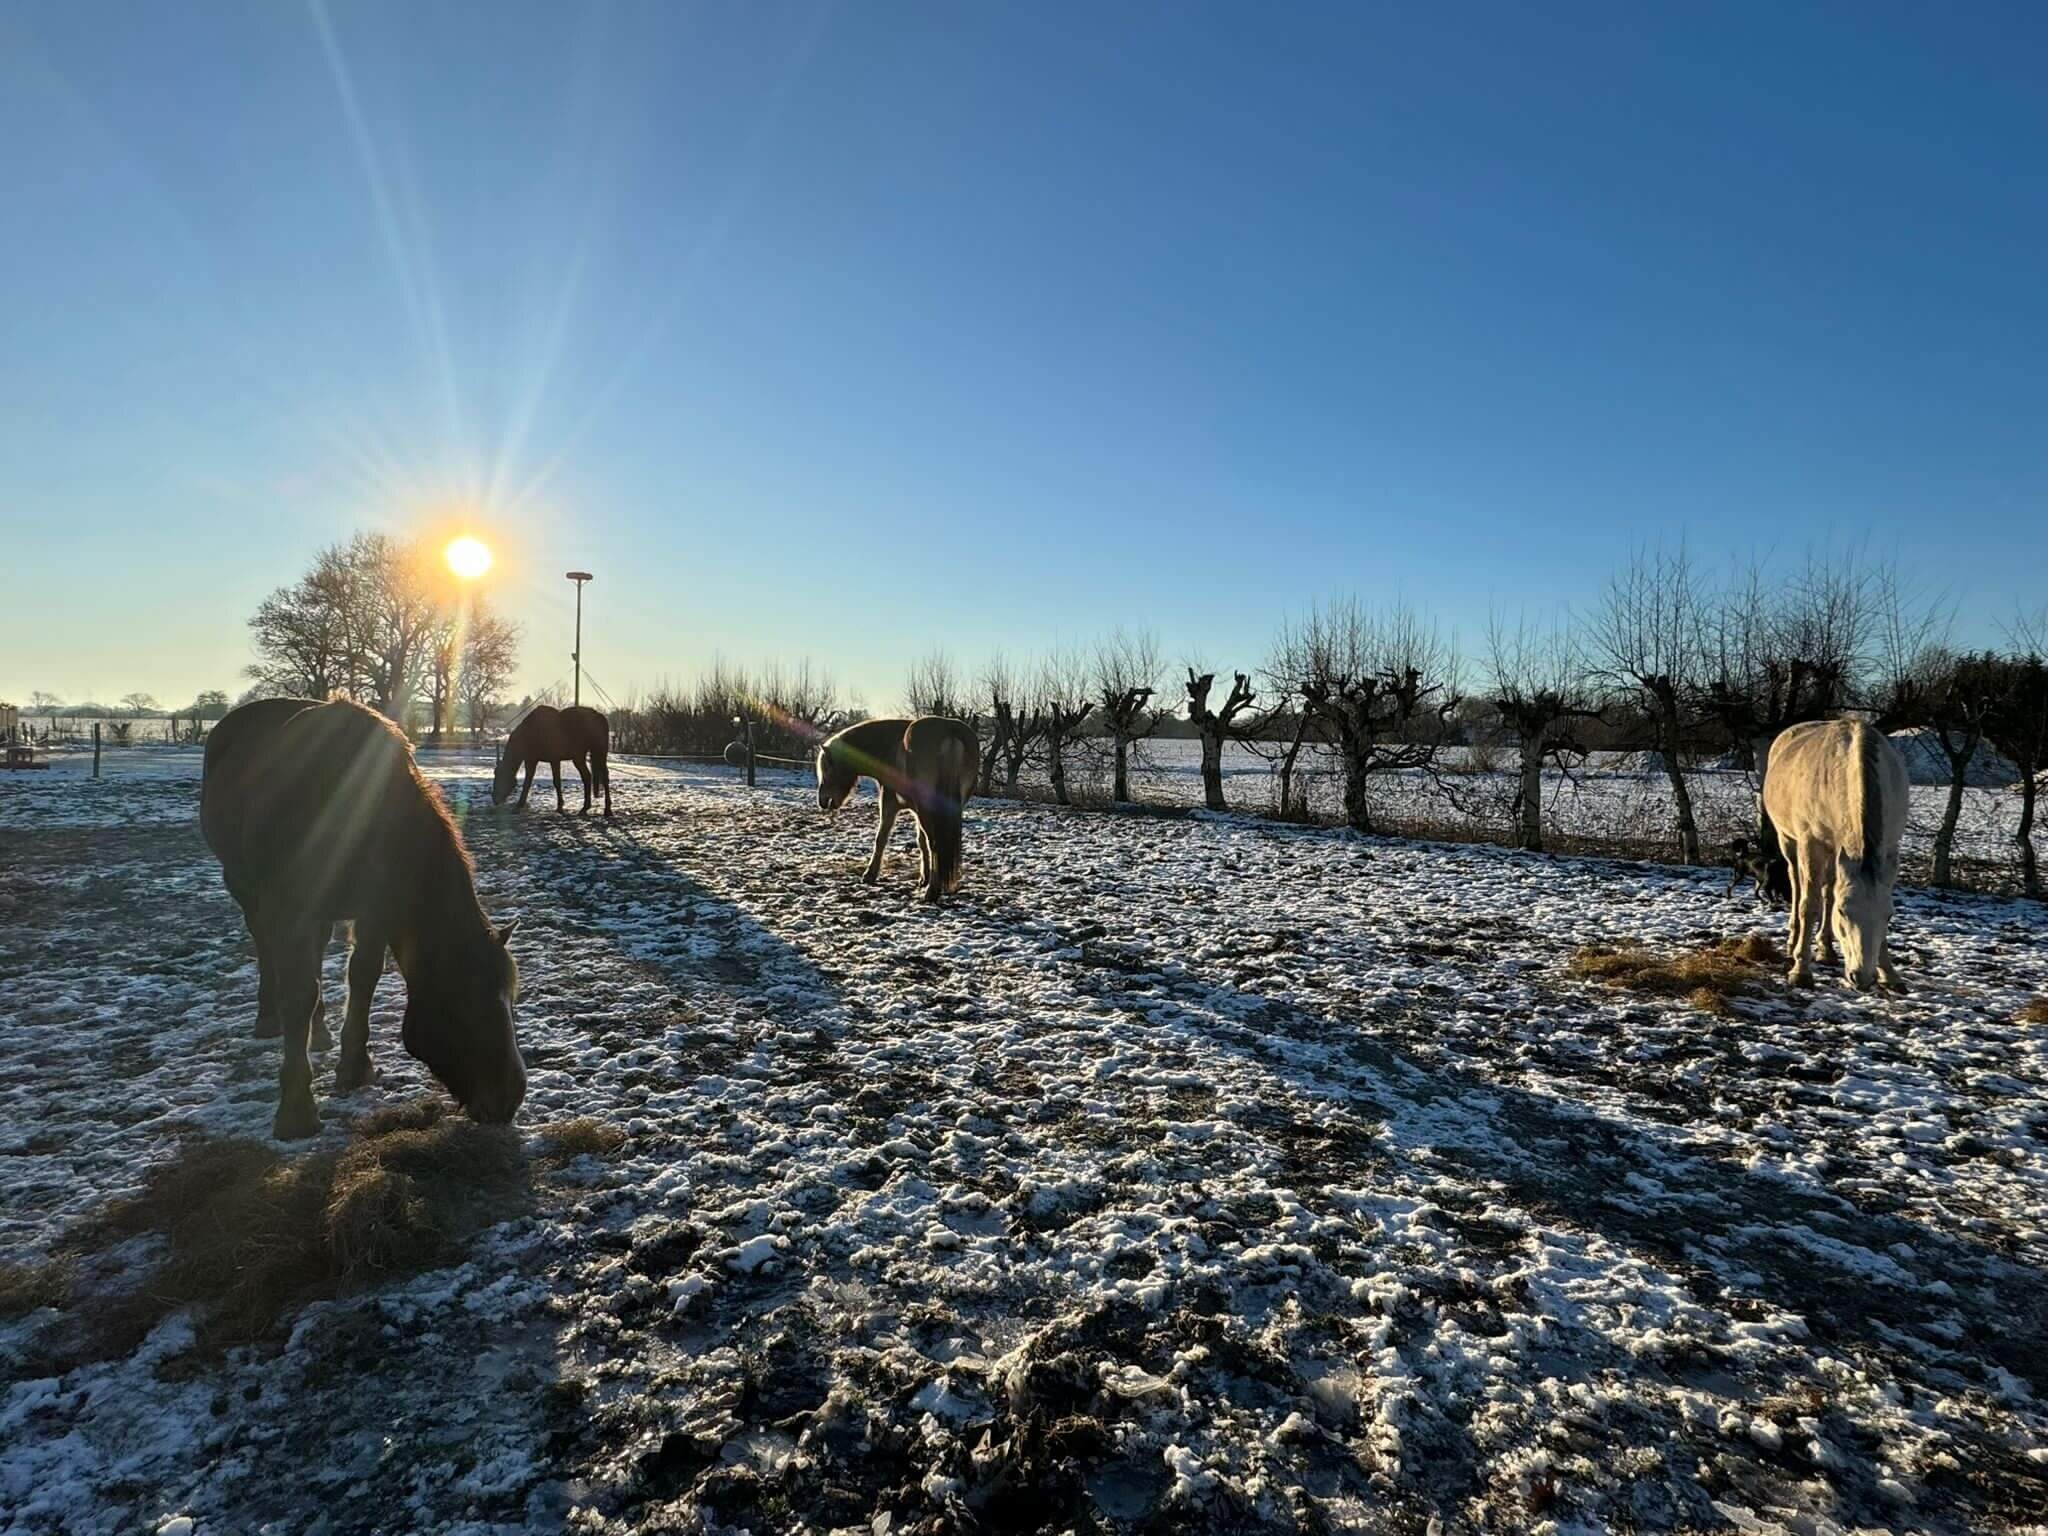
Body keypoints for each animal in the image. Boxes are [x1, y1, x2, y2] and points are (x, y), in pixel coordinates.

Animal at [202, 697, 526, 1139]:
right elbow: (298, 994)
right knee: (266, 950)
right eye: (466, 1001)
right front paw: (296, 1109)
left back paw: (319, 1033)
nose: (509, 1099)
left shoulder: (376, 910)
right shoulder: (290, 910)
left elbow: (363, 977)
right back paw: (268, 1018)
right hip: (246, 889)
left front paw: (355, 1067)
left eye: (511, 999)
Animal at [816, 715, 980, 901]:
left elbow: (881, 838)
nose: (822, 801)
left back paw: (931, 892)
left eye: (827, 769)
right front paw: (923, 878)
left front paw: (870, 875)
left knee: (935, 844)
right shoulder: (917, 811)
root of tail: (950, 732)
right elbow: (921, 842)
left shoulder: (889, 803)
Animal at [1760, 717, 1909, 991]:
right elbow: (1809, 905)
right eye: (1843, 912)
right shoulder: (1811, 843)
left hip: (1834, 854)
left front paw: (1889, 973)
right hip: (1789, 841)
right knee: (1796, 884)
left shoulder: (1890, 848)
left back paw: (1826, 949)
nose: (1862, 978)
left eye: (1888, 915)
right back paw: (1793, 940)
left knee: (1828, 890)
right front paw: (1801, 971)